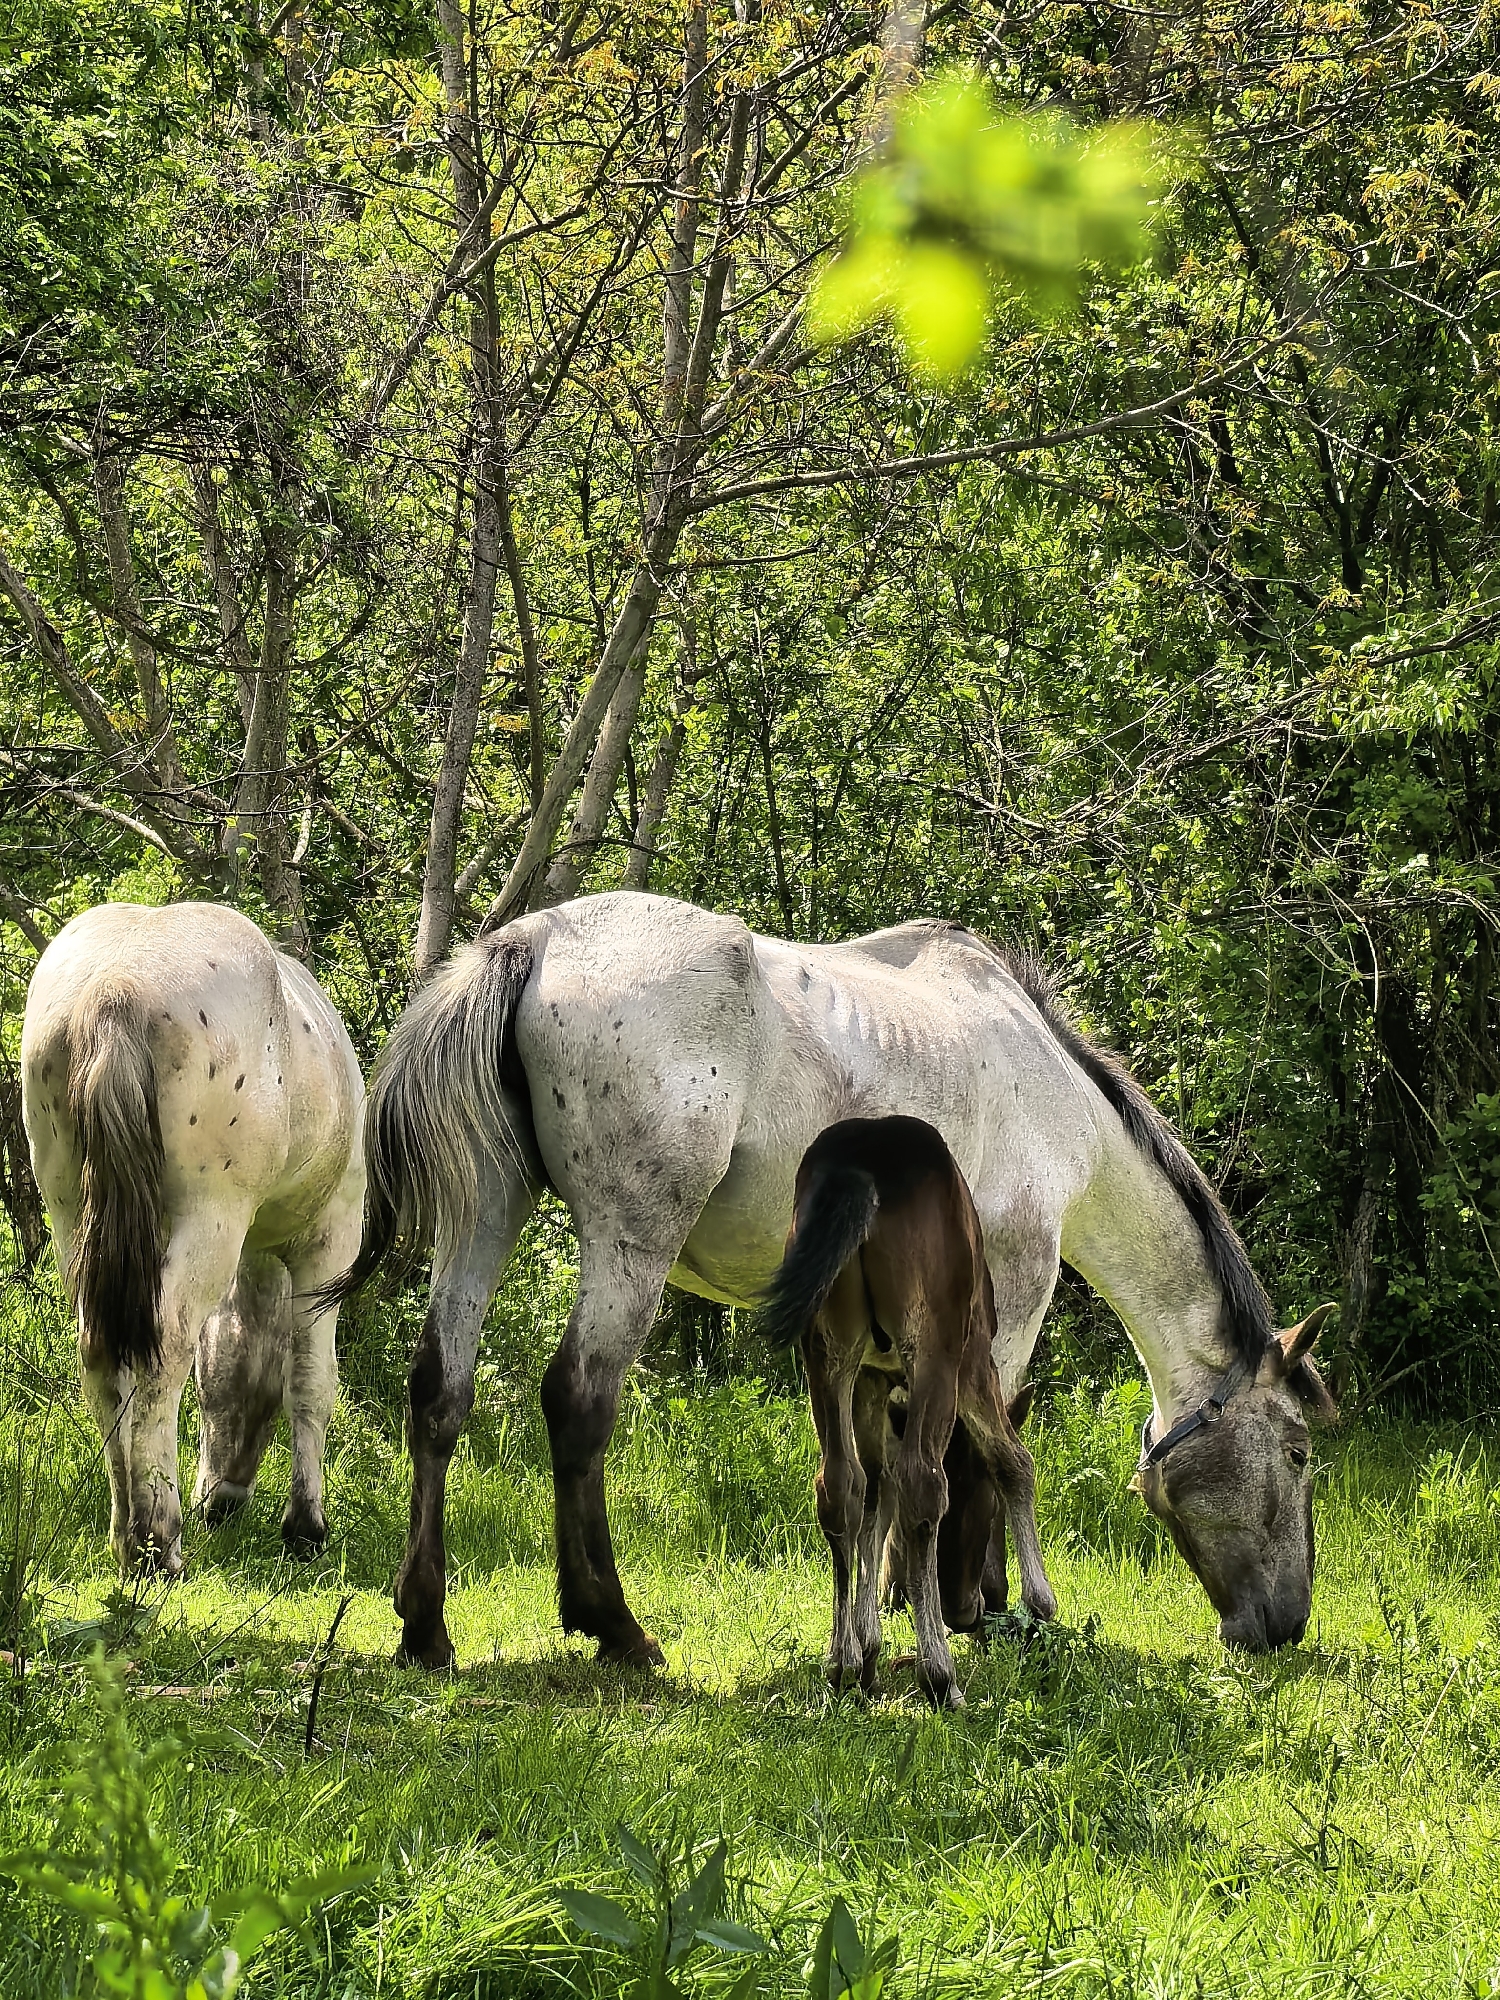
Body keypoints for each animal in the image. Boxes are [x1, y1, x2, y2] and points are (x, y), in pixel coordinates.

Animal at [20, 901, 366, 1573]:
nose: (221, 1499)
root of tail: (115, 987)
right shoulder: (328, 1244)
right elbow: (312, 1379)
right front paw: (305, 1526)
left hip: (72, 1213)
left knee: (102, 1351)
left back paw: (125, 1531)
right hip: (210, 1218)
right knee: (167, 1342)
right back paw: (159, 1542)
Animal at [762, 1114, 1055, 1707]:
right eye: (985, 1508)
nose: (968, 1610)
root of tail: (861, 1167)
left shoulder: (873, 1379)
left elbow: (876, 1492)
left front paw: (867, 1649)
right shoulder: (975, 1360)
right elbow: (1011, 1461)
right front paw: (1041, 1603)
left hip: (826, 1352)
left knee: (838, 1485)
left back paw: (840, 1662)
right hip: (935, 1350)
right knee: (923, 1480)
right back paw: (940, 1676)